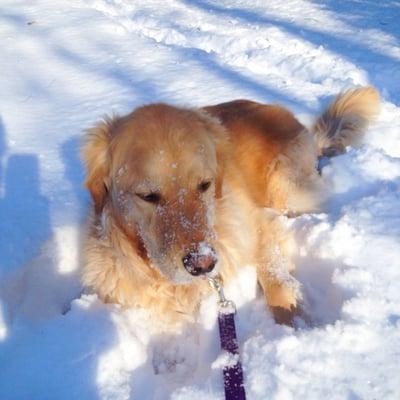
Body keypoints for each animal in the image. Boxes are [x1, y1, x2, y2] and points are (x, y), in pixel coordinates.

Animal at [79, 86, 380, 324]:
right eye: (147, 196)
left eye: (205, 184)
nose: (203, 264)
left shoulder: (260, 220)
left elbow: (275, 277)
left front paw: (294, 318)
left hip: (286, 187)